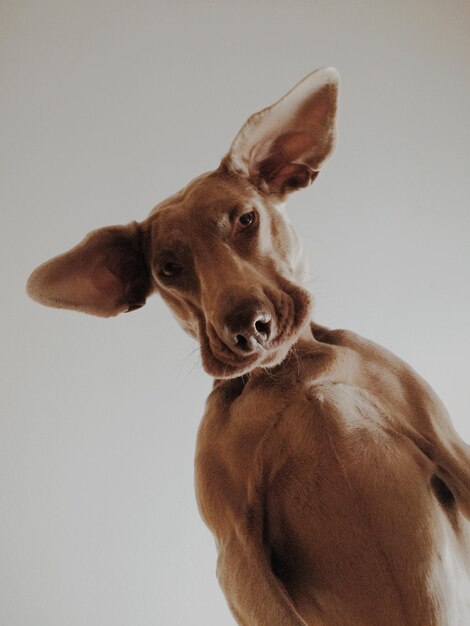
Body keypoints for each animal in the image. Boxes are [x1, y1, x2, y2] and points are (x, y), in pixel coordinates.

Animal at [27, 69, 468, 624]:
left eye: (245, 219)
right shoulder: (237, 556)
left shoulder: (449, 446)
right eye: (167, 268)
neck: (291, 378)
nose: (247, 327)